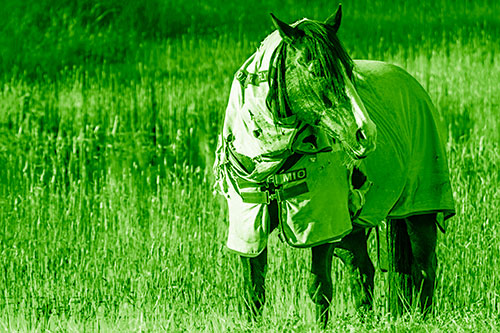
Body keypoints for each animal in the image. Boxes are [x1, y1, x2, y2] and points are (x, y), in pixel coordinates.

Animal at [213, 4, 456, 326]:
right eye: (317, 70)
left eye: (349, 70)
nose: (365, 133)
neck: (272, 157)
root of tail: (411, 84)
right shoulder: (250, 223)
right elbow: (254, 291)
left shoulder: (322, 225)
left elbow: (320, 287)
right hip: (353, 230)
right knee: (363, 270)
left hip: (419, 212)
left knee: (425, 268)